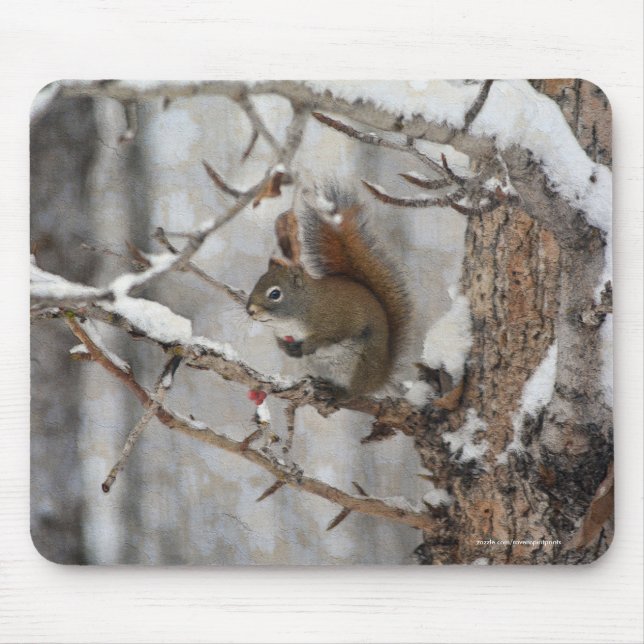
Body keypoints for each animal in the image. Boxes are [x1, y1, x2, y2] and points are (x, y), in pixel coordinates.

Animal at [246, 188, 411, 398]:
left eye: (275, 294)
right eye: (257, 282)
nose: (250, 310)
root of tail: (380, 378)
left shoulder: (338, 317)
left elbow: (331, 335)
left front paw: (310, 344)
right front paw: (288, 349)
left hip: (362, 366)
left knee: (354, 393)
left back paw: (340, 394)